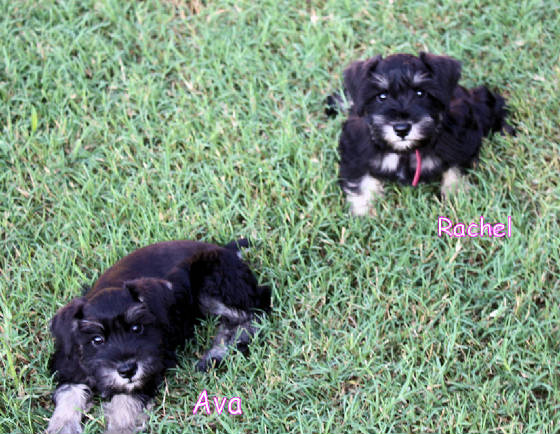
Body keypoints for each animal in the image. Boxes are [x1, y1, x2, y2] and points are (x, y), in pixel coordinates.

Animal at [46, 239, 270, 434]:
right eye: (97, 340)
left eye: (136, 328)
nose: (127, 370)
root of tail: (225, 249)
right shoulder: (69, 367)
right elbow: (68, 395)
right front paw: (61, 427)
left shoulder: (150, 370)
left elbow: (124, 404)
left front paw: (119, 429)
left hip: (212, 282)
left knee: (251, 317)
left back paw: (215, 355)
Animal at [326, 53, 516, 216]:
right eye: (382, 95)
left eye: (420, 93)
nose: (401, 129)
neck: (406, 151)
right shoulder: (355, 152)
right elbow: (360, 181)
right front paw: (364, 213)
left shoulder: (461, 144)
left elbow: (455, 171)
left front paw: (455, 197)